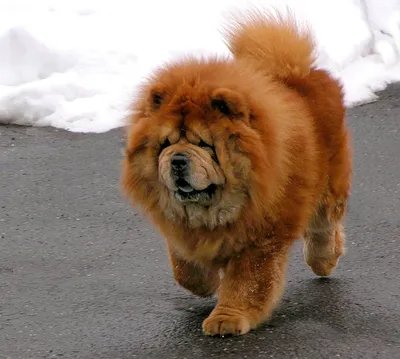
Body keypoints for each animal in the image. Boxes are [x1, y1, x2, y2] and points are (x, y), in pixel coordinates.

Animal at [121, 11, 350, 338]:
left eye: (204, 144)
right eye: (166, 143)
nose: (177, 160)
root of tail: (297, 72)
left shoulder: (261, 238)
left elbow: (247, 282)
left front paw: (226, 320)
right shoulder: (180, 230)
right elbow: (184, 269)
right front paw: (206, 284)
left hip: (329, 184)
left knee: (324, 225)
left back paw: (324, 260)